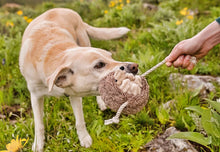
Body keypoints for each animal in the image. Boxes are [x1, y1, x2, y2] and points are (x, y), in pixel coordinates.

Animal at [19, 8, 138, 151]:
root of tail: (63, 9)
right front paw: (38, 143)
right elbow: (39, 124)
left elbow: (79, 121)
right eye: (99, 65)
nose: (134, 66)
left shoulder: (75, 95)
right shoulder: (35, 96)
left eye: (111, 57)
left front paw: (84, 138)